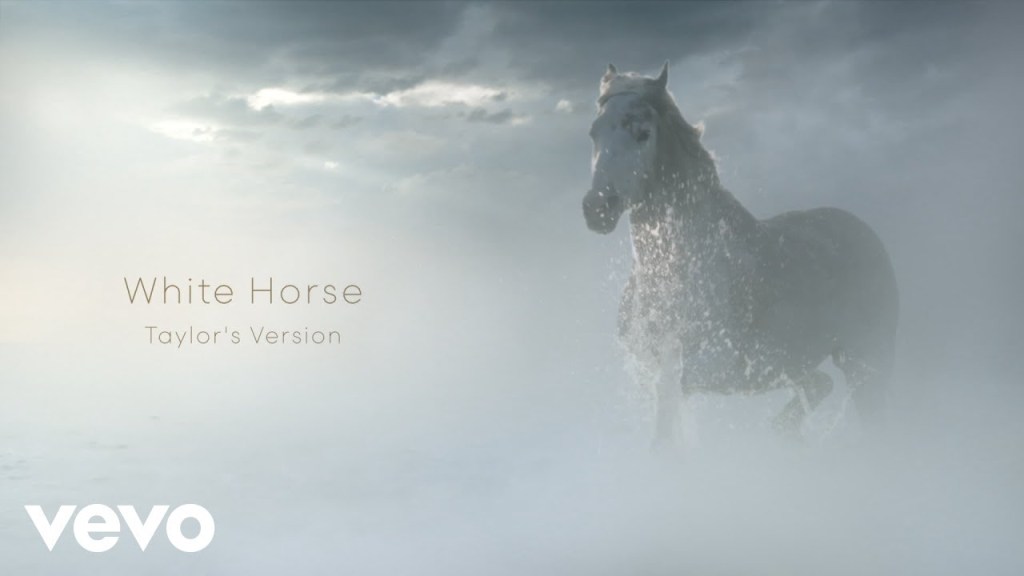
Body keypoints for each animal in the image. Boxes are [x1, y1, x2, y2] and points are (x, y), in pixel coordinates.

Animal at [582, 63, 899, 447]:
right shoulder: (649, 365)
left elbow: (669, 401)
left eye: (643, 133)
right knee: (819, 386)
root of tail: (863, 231)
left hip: (866, 360)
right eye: (593, 132)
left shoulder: (717, 364)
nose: (597, 209)